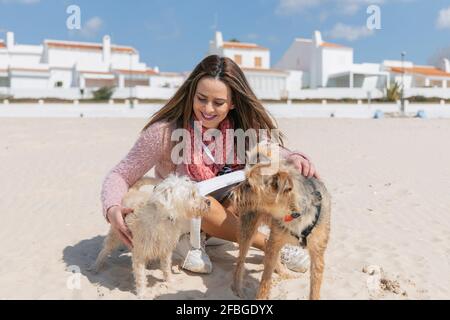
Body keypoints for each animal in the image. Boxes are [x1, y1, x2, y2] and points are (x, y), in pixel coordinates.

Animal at [232, 150, 330, 300]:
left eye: (249, 184)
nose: (230, 194)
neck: (293, 214)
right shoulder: (275, 241)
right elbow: (264, 282)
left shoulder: (317, 255)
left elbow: (315, 290)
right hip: (248, 231)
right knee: (241, 260)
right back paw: (238, 288)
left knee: (267, 245)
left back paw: (283, 272)